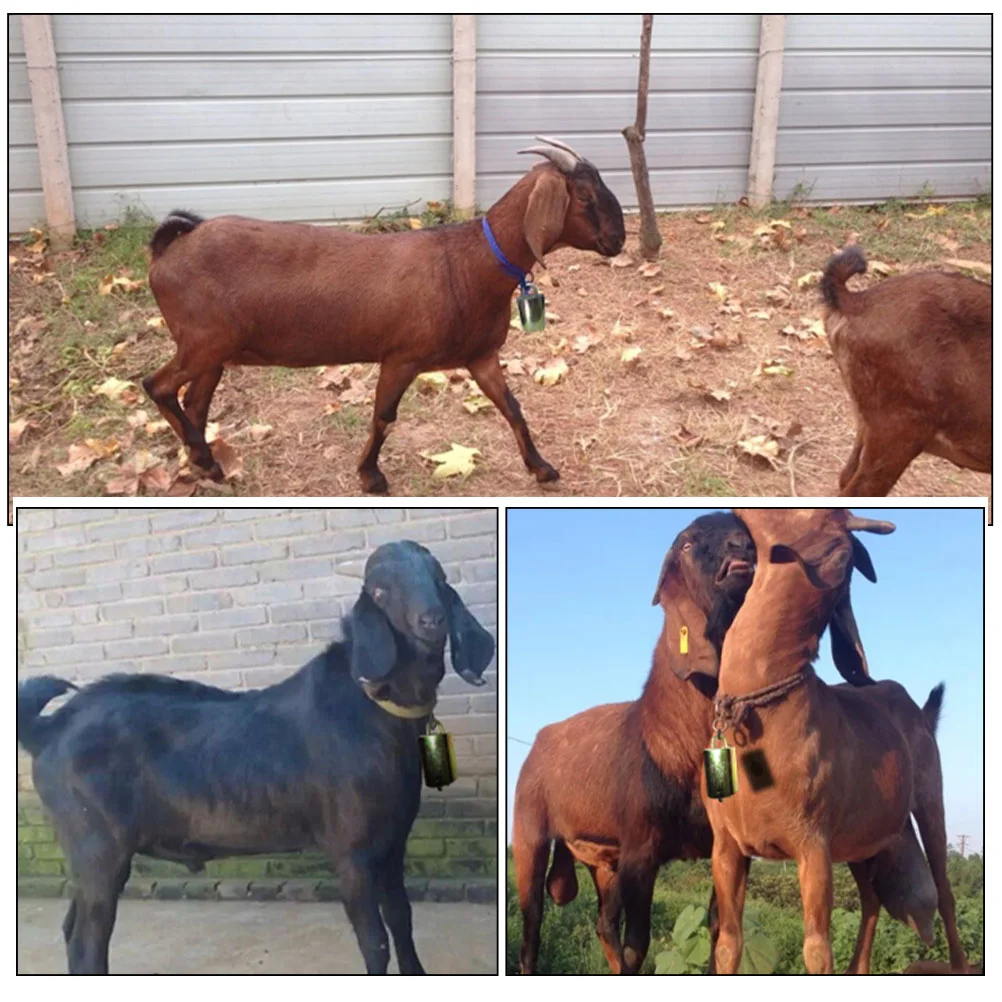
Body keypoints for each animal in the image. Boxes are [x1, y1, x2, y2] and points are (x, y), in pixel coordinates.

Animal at [16, 540, 495, 975]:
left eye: (439, 580)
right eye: (380, 590)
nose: (430, 620)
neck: (373, 711)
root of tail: (48, 728)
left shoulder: (394, 841)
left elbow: (402, 919)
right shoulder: (350, 849)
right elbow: (373, 941)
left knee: (70, 928)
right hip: (96, 844)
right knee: (86, 941)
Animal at [143, 136, 625, 493]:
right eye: (584, 195)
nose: (618, 239)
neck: (466, 265)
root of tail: (170, 248)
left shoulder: (480, 357)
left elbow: (512, 408)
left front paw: (542, 468)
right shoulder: (401, 356)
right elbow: (384, 417)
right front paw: (371, 476)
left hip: (213, 350)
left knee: (194, 401)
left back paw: (205, 464)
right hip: (203, 340)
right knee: (157, 386)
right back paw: (203, 458)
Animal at [512, 512, 934, 975]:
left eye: (748, 536)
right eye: (686, 544)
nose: (740, 548)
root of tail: (542, 738)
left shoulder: (721, 846)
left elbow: (719, 933)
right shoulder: (641, 848)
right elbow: (637, 944)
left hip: (602, 861)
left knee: (603, 923)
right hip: (530, 835)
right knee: (533, 923)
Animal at [705, 508, 968, 975]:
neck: (760, 710)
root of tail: (921, 711)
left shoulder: (813, 845)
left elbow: (816, 948)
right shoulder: (727, 848)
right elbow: (728, 946)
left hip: (928, 800)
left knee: (945, 891)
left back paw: (958, 964)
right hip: (863, 840)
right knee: (872, 900)